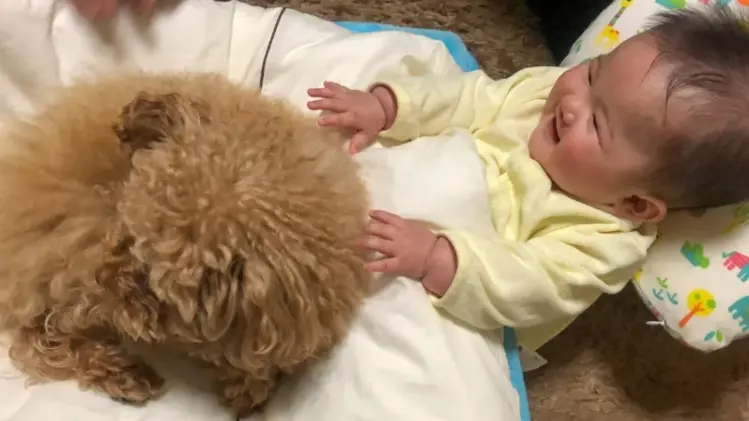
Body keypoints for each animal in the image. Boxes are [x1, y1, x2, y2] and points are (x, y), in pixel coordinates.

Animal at [0, 71, 372, 414]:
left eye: (151, 283)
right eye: (126, 232)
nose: (101, 278)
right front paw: (249, 383)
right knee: (39, 334)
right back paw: (125, 374)